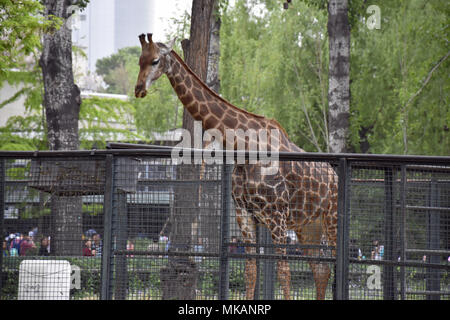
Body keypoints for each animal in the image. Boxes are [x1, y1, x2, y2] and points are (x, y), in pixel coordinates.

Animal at [134, 34, 338, 300]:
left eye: (156, 60)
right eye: (140, 60)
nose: (139, 89)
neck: (244, 147)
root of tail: (334, 175)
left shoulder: (277, 215)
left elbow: (283, 272)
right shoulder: (245, 214)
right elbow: (251, 271)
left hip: (330, 217)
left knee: (333, 262)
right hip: (307, 225)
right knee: (321, 269)